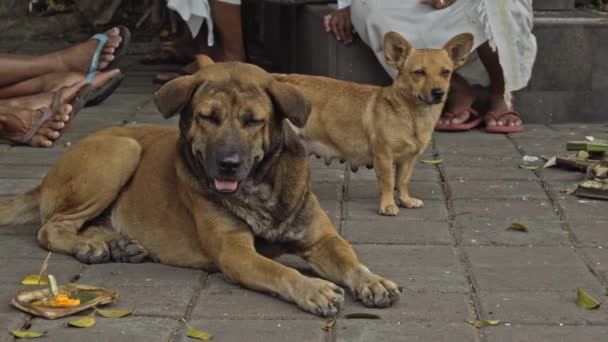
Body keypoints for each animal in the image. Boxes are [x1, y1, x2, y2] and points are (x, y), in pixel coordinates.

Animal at [276, 30, 476, 215]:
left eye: (445, 72)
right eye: (419, 73)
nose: (438, 92)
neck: (411, 114)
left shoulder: (408, 159)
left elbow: (403, 181)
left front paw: (405, 200)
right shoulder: (383, 156)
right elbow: (388, 182)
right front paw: (388, 205)